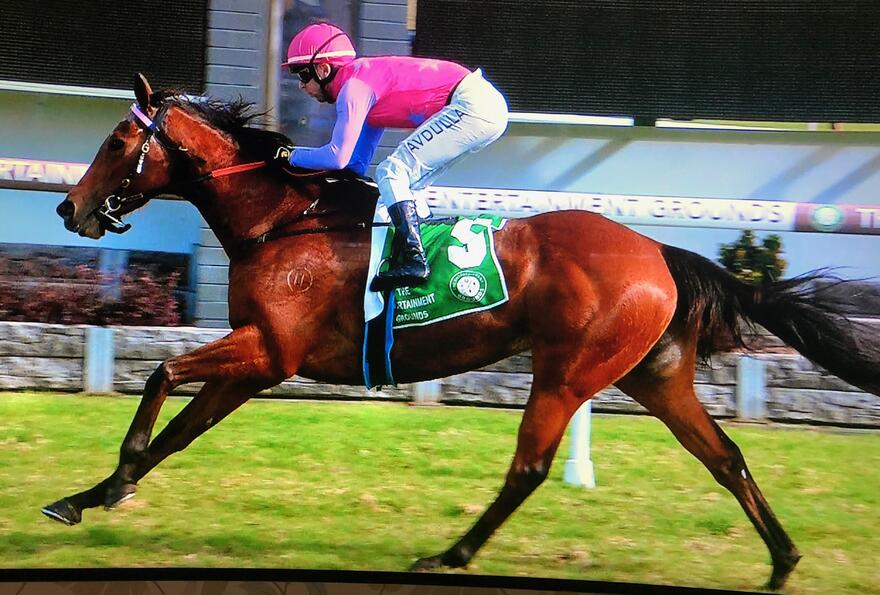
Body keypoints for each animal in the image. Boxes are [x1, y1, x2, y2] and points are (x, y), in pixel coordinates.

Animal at [46, 74, 880, 591]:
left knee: (530, 467)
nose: (68, 207)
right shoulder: (258, 361)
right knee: (726, 457)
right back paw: (783, 558)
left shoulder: (270, 350)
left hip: (569, 369)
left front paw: (108, 480)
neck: (280, 222)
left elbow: (160, 376)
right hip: (654, 374)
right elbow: (181, 430)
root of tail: (658, 251)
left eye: (117, 141)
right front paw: (95, 493)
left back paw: (451, 553)